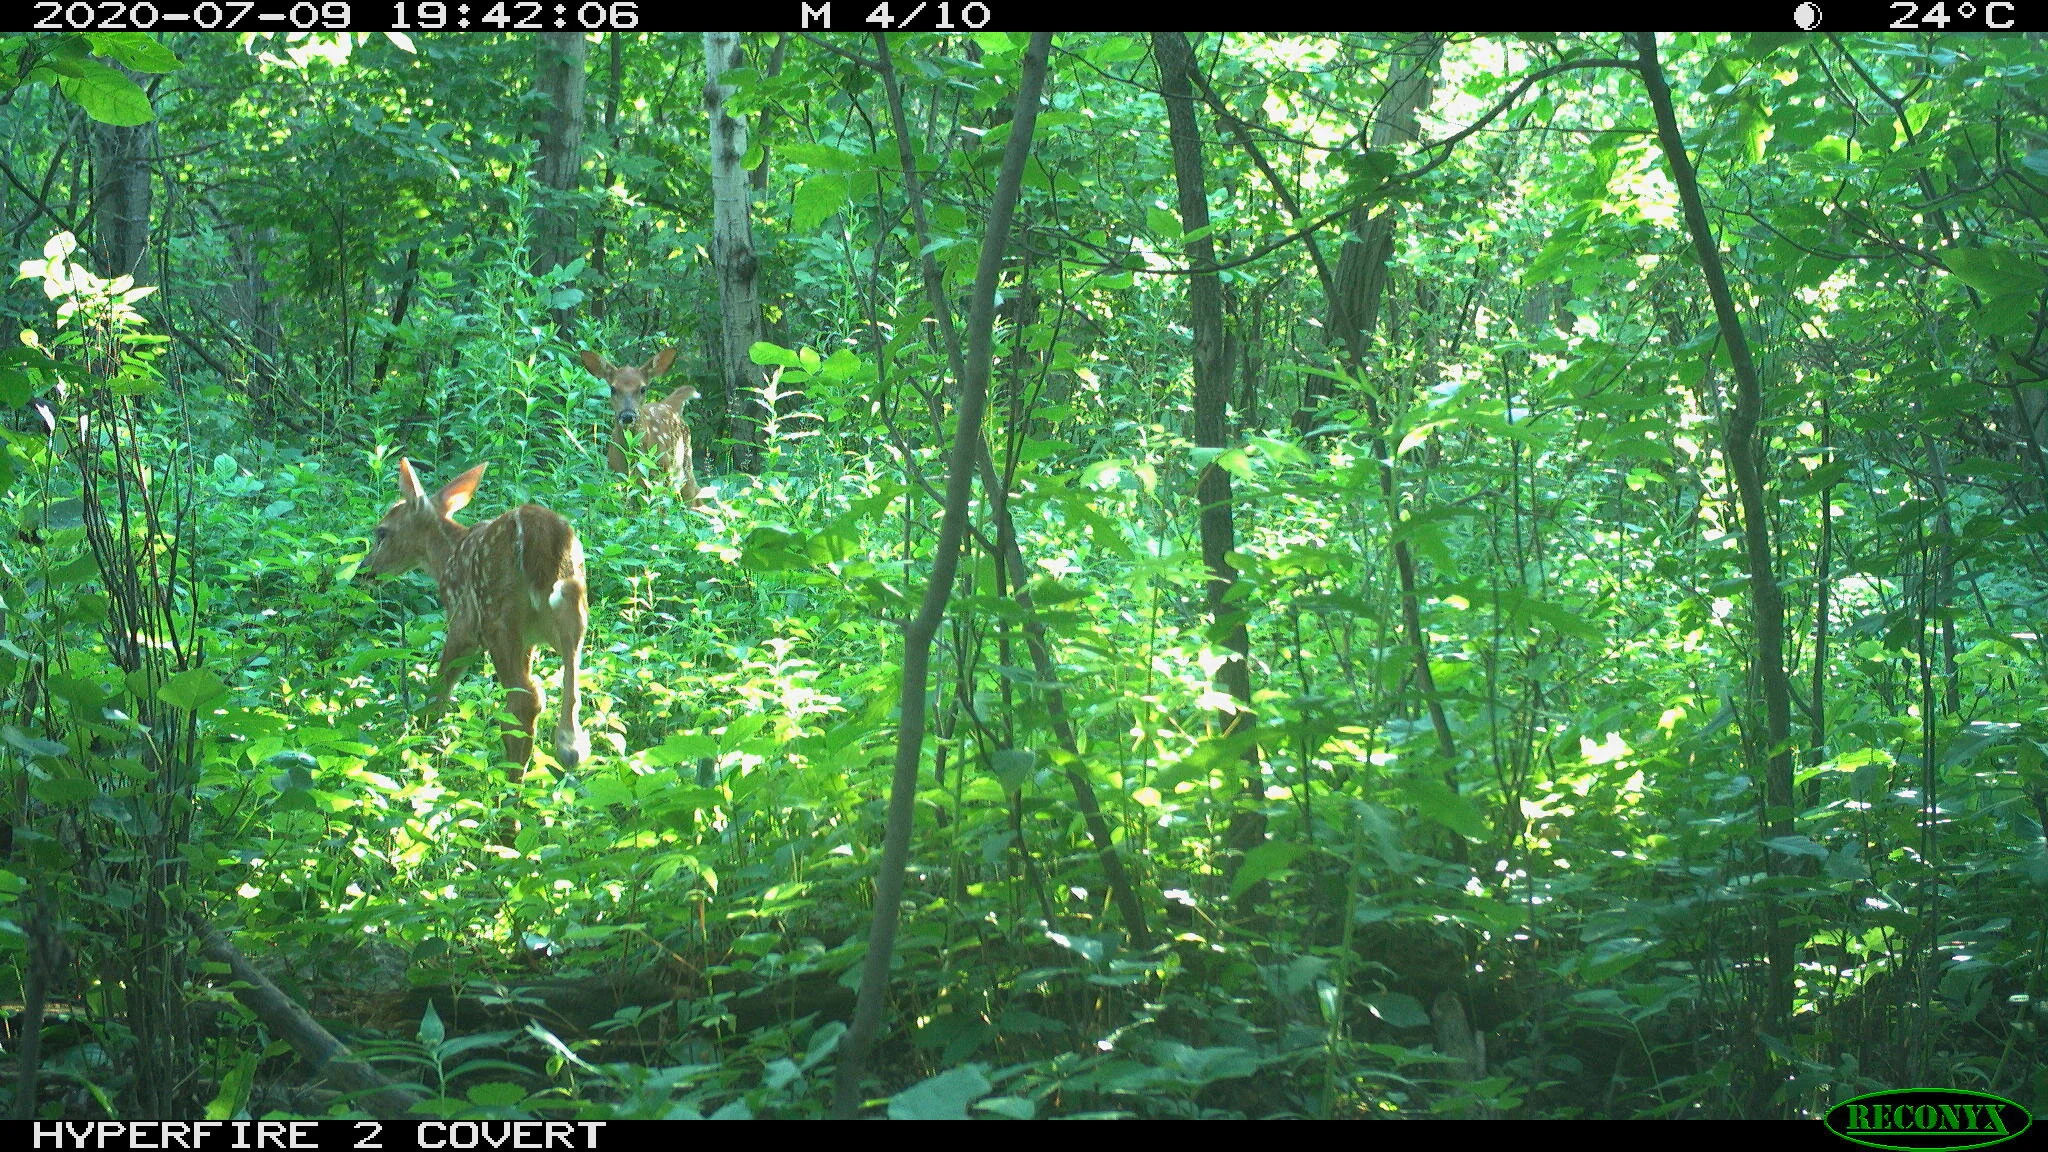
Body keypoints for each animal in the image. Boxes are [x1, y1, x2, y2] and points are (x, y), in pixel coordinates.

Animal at [364, 458, 590, 776]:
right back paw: (569, 750)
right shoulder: (530, 641)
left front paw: (423, 735)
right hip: (572, 606)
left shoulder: (462, 622)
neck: (446, 555)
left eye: (382, 532)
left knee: (524, 699)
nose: (365, 569)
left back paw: (512, 779)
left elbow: (441, 684)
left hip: (498, 616)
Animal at [580, 347, 702, 504]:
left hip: (683, 464)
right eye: (613, 389)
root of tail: (670, 405)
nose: (627, 416)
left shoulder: (662, 472)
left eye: (643, 389)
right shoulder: (618, 475)